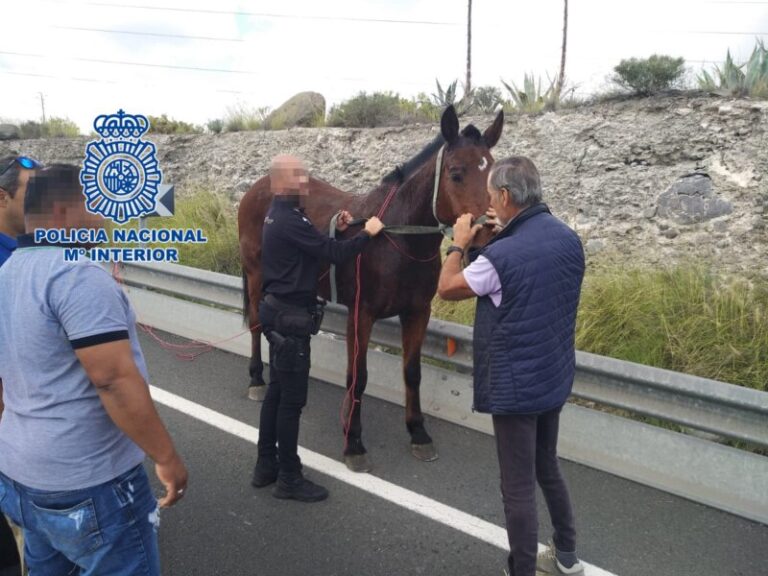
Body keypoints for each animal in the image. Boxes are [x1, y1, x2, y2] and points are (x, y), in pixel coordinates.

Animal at [238, 105, 504, 471]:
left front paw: (418, 432)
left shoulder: (417, 313)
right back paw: (255, 379)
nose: (486, 237)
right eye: (456, 173)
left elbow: (411, 372)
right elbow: (358, 376)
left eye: (492, 172)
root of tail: (258, 189)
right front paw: (353, 441)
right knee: (255, 324)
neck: (396, 237)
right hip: (255, 275)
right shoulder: (361, 315)